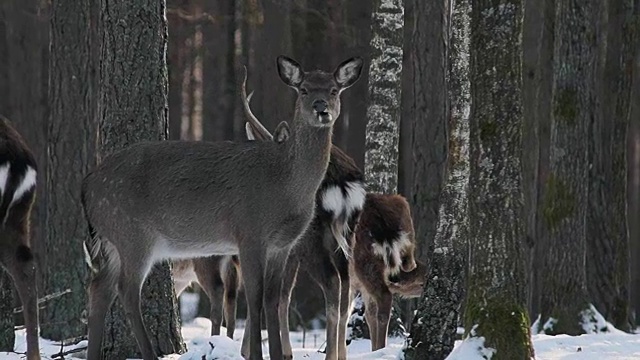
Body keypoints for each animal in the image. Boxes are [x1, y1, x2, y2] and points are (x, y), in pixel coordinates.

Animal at [80, 56, 362, 360]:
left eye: (334, 90)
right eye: (304, 90)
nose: (322, 109)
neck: (284, 185)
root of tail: (87, 186)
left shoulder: (282, 245)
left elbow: (273, 299)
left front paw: (276, 353)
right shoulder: (250, 233)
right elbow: (255, 298)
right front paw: (255, 354)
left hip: (113, 238)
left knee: (99, 288)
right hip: (133, 234)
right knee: (126, 290)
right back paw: (149, 353)